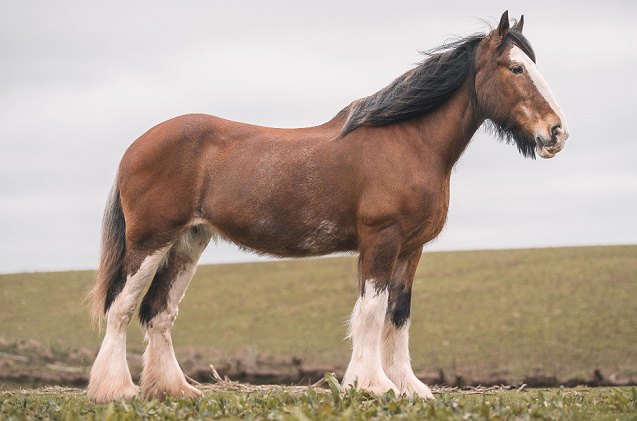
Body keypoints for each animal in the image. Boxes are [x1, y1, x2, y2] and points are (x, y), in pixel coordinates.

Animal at [84, 11, 568, 402]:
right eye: (516, 67)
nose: (556, 133)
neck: (410, 142)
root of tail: (135, 147)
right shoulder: (380, 240)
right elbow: (371, 311)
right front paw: (374, 385)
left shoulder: (411, 250)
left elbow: (399, 315)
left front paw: (408, 387)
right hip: (151, 240)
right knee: (122, 308)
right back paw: (116, 390)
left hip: (188, 241)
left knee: (158, 313)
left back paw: (174, 389)